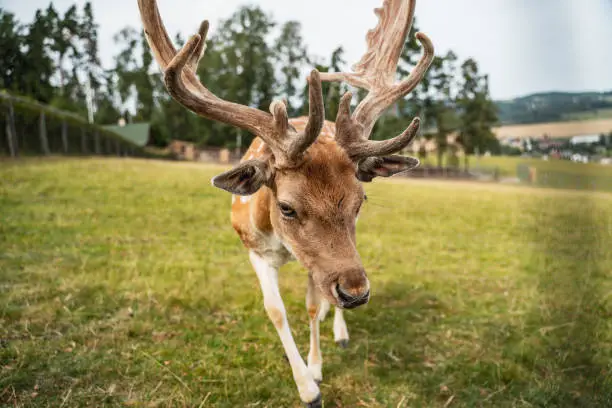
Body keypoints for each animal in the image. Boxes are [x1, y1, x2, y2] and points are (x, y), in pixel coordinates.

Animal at [139, 0, 436, 404]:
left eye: (361, 200)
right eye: (287, 207)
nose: (356, 293)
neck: (280, 241)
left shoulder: (319, 261)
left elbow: (310, 304)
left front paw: (317, 368)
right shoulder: (253, 248)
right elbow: (276, 310)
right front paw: (307, 389)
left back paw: (339, 329)